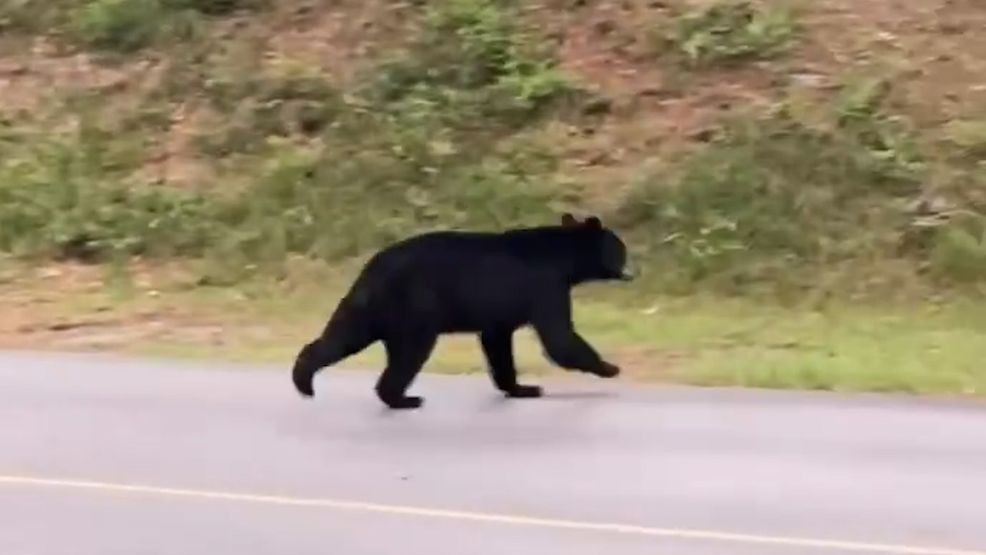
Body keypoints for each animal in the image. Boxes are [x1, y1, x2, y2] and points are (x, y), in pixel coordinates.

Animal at [291, 213, 636, 409]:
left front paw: (521, 387)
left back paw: (304, 379)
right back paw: (403, 399)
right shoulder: (546, 287)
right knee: (408, 354)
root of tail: (373, 267)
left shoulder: (502, 311)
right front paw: (610, 367)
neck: (563, 258)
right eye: (620, 248)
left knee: (343, 335)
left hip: (369, 307)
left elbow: (498, 342)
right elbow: (560, 337)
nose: (633, 268)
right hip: (415, 311)